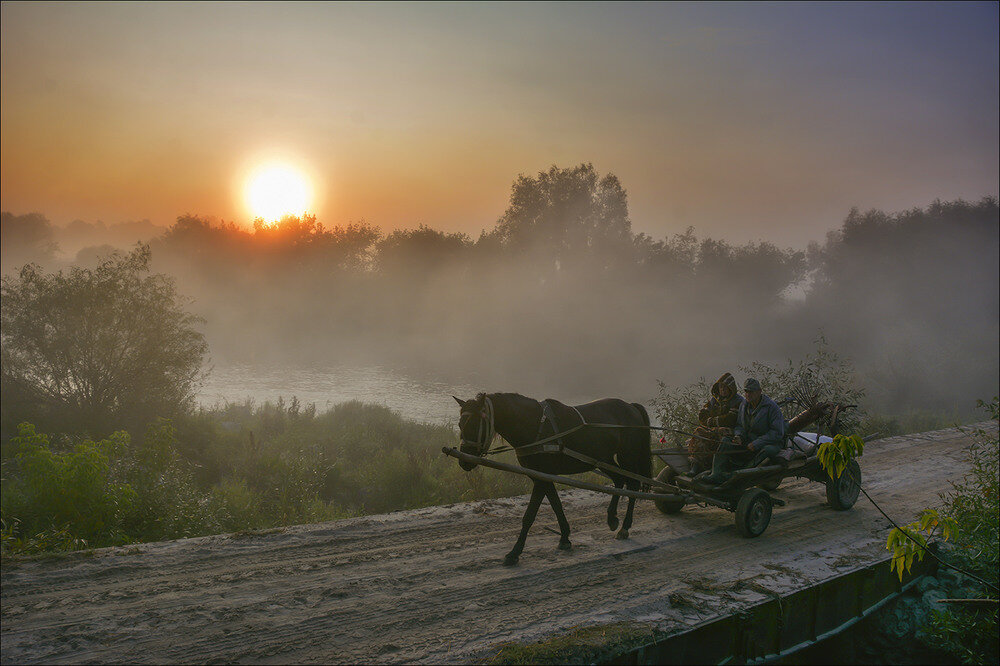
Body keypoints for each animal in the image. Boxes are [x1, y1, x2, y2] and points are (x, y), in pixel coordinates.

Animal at [454, 392, 656, 564]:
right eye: (460, 424)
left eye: (473, 423)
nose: (464, 461)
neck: (534, 425)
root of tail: (630, 406)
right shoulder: (542, 477)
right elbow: (556, 505)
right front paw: (565, 537)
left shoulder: (542, 478)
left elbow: (529, 516)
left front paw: (515, 552)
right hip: (603, 459)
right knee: (619, 481)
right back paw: (612, 517)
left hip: (627, 455)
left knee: (633, 484)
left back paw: (625, 526)